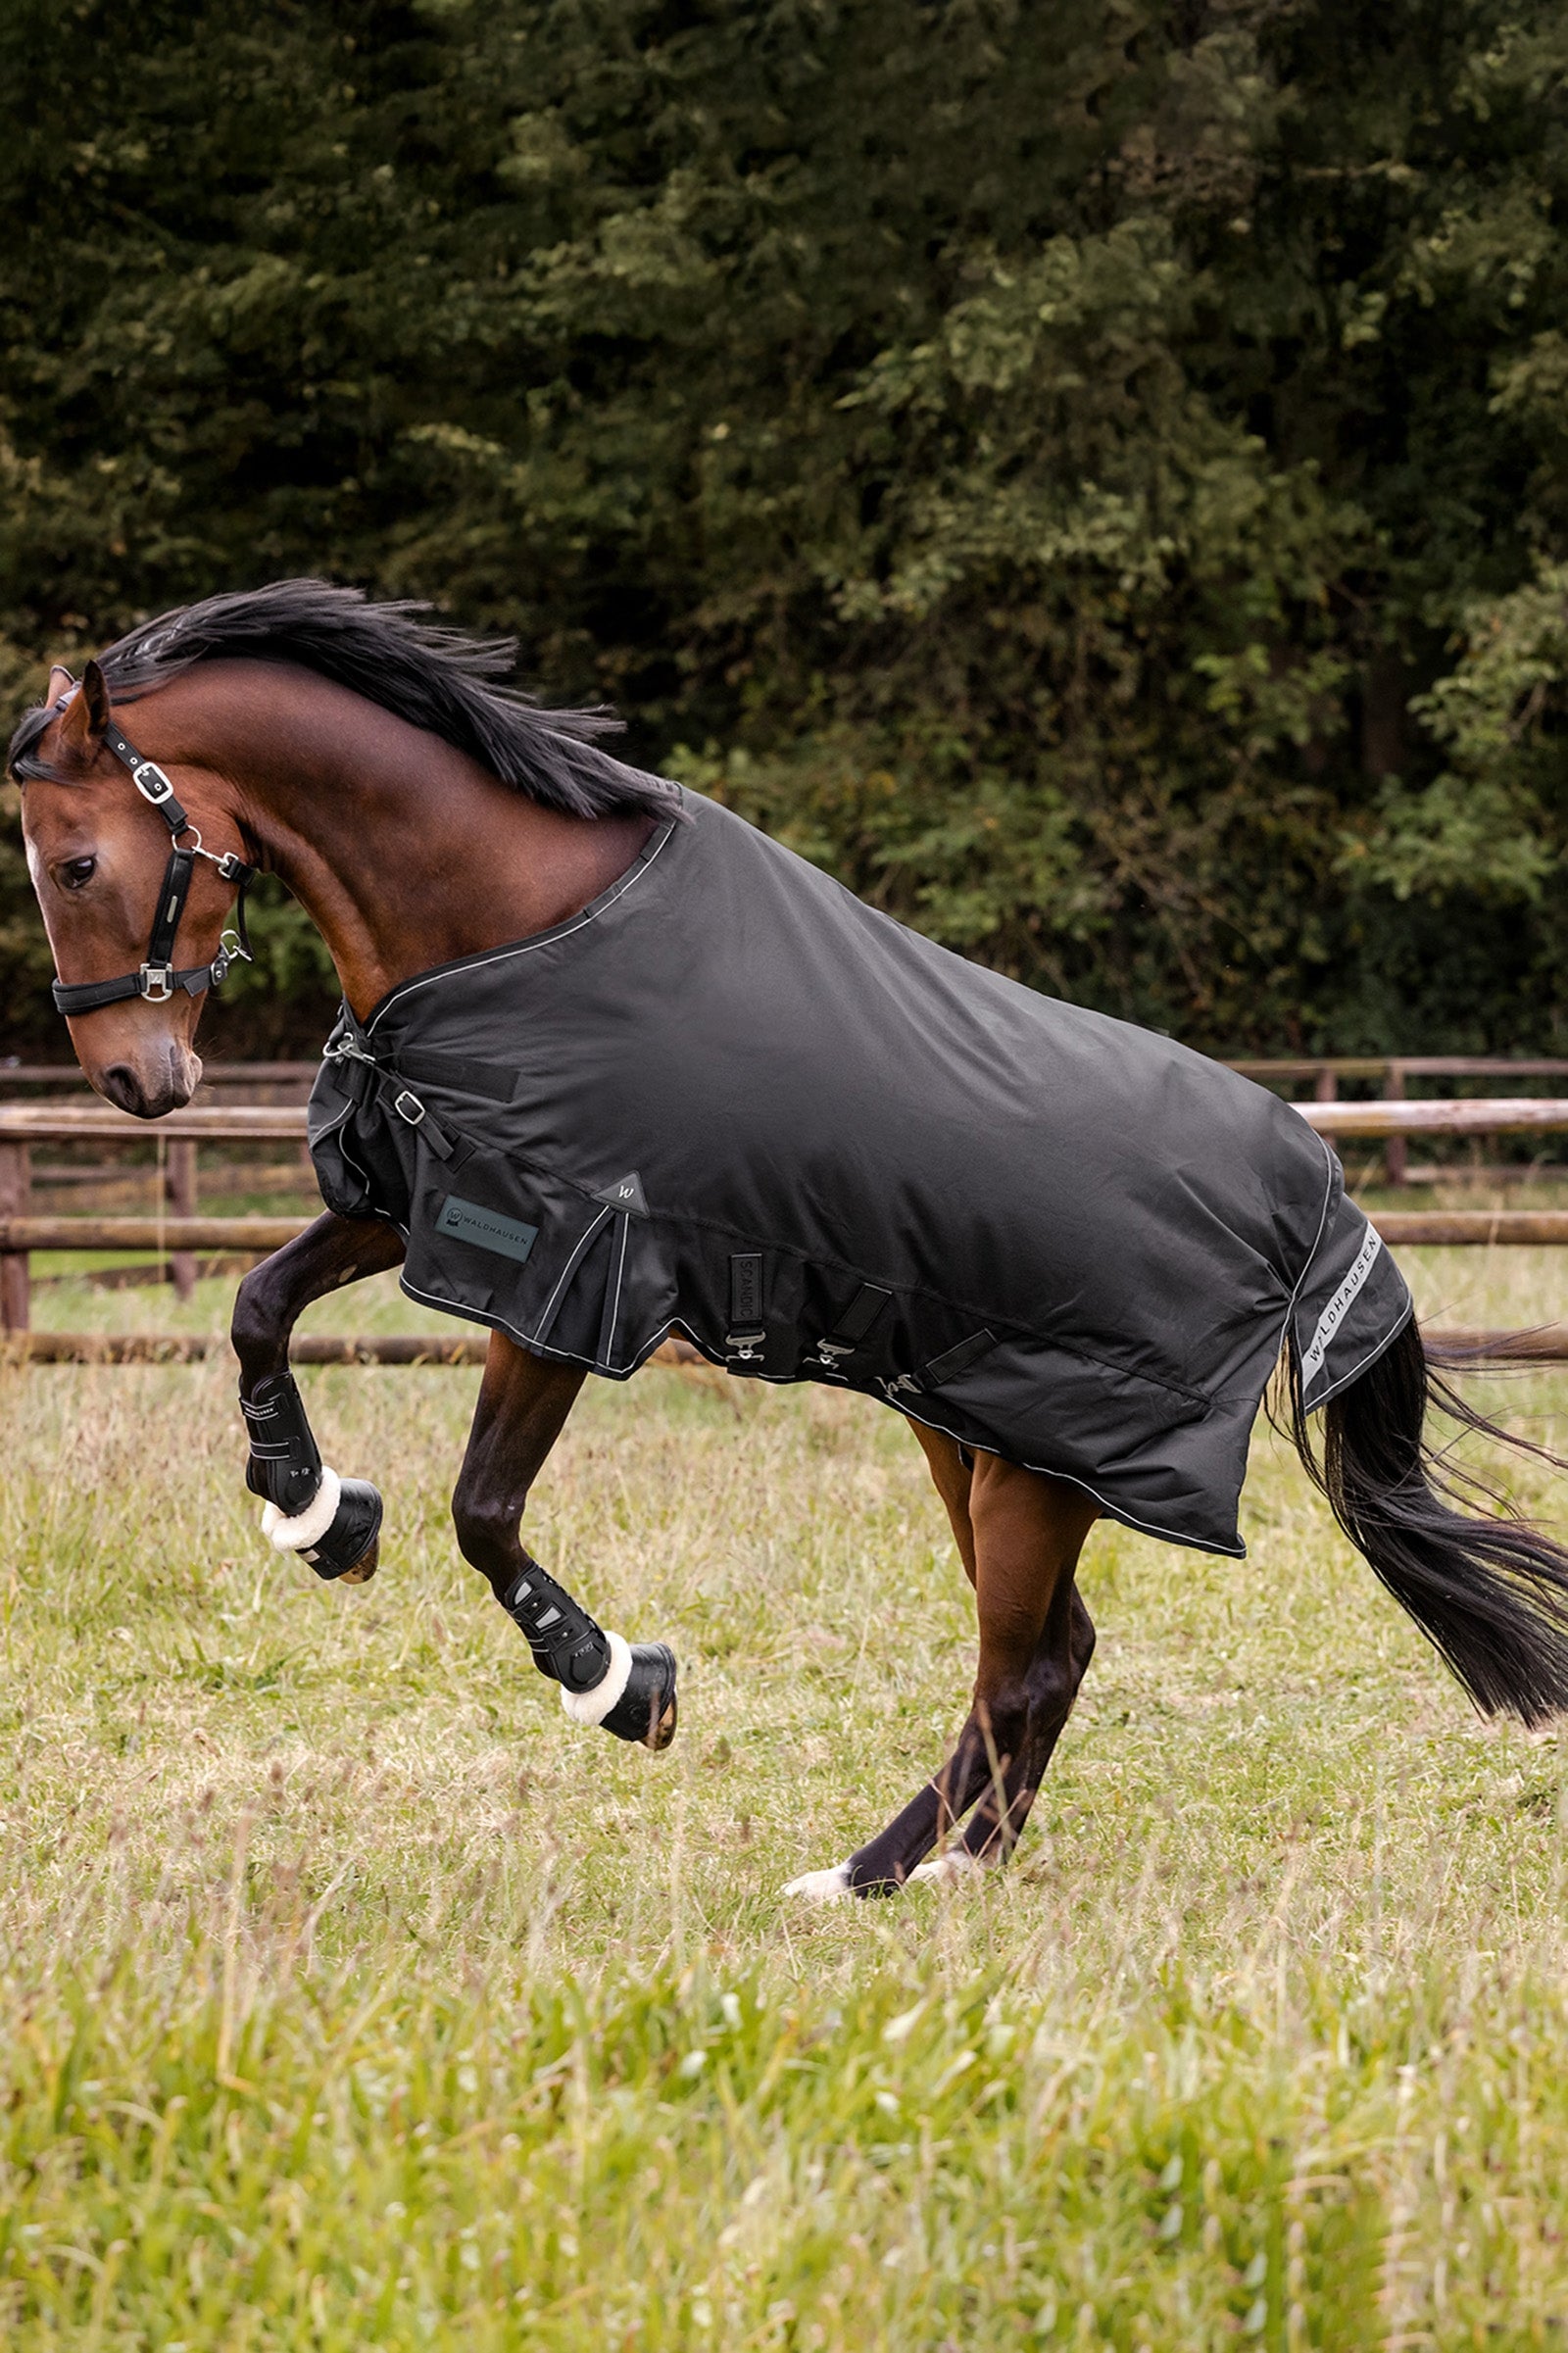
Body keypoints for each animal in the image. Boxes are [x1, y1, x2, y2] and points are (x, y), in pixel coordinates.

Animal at [14, 581, 1568, 1902]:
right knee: (1051, 1655)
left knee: (1020, 1669)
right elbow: (256, 1309)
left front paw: (618, 1683)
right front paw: (316, 1513)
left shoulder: (569, 1264)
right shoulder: (429, 1195)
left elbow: (484, 1509)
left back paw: (877, 1877)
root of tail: (1315, 1199)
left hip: (1034, 1466)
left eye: (78, 859)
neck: (515, 921)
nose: (137, 1081)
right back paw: (949, 1866)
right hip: (980, 1437)